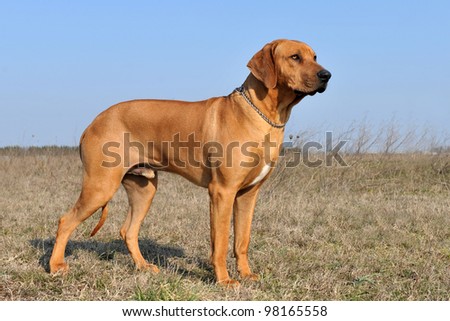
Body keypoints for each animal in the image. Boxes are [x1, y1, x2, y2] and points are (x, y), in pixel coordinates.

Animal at [50, 38, 330, 284]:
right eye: (295, 57)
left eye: (315, 56)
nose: (326, 75)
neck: (262, 115)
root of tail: (93, 122)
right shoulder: (222, 192)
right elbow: (220, 243)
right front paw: (224, 281)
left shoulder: (248, 194)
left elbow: (242, 240)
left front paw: (246, 274)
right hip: (100, 187)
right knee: (65, 221)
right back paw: (55, 266)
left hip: (144, 188)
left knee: (127, 231)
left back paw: (143, 266)